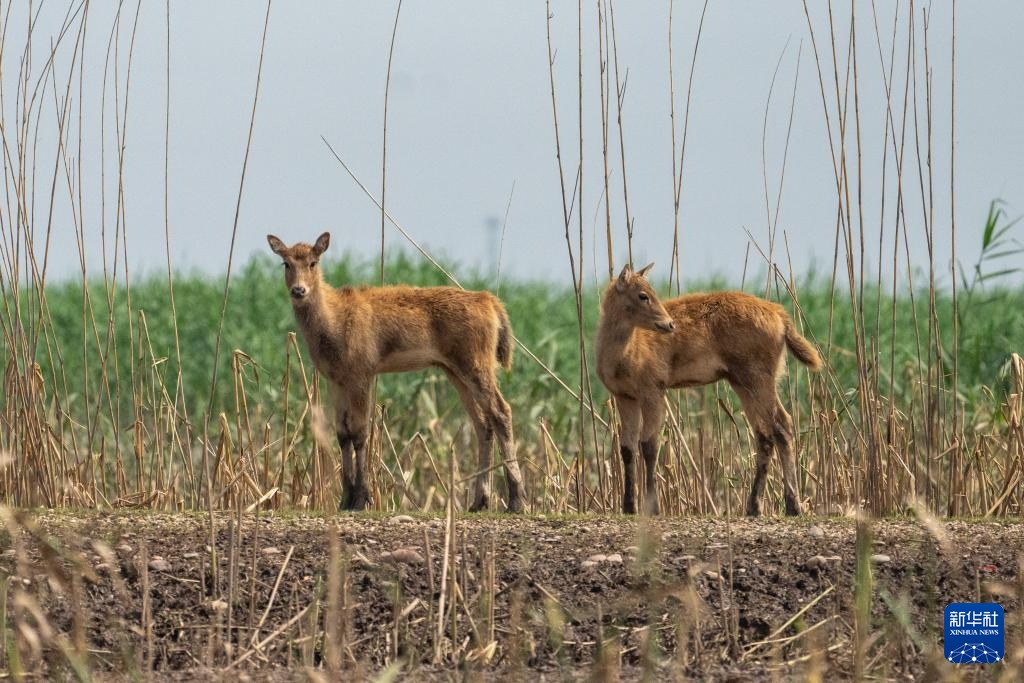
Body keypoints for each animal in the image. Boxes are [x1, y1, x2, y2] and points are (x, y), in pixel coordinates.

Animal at [267, 232, 526, 513]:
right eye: (286, 263)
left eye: (313, 262)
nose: (298, 290)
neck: (332, 324)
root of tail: (491, 302)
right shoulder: (336, 379)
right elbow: (342, 433)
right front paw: (345, 499)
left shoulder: (362, 372)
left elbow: (360, 431)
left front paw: (362, 498)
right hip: (454, 370)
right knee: (483, 423)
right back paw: (480, 501)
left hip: (476, 362)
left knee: (501, 411)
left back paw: (516, 500)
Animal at [596, 263, 822, 517]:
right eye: (643, 295)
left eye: (651, 291)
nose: (669, 324)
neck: (622, 358)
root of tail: (780, 315)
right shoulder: (624, 396)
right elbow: (627, 447)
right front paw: (628, 506)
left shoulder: (653, 388)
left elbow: (650, 445)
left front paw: (653, 507)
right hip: (741, 380)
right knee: (764, 434)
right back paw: (754, 506)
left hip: (758, 376)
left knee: (782, 425)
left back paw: (793, 505)